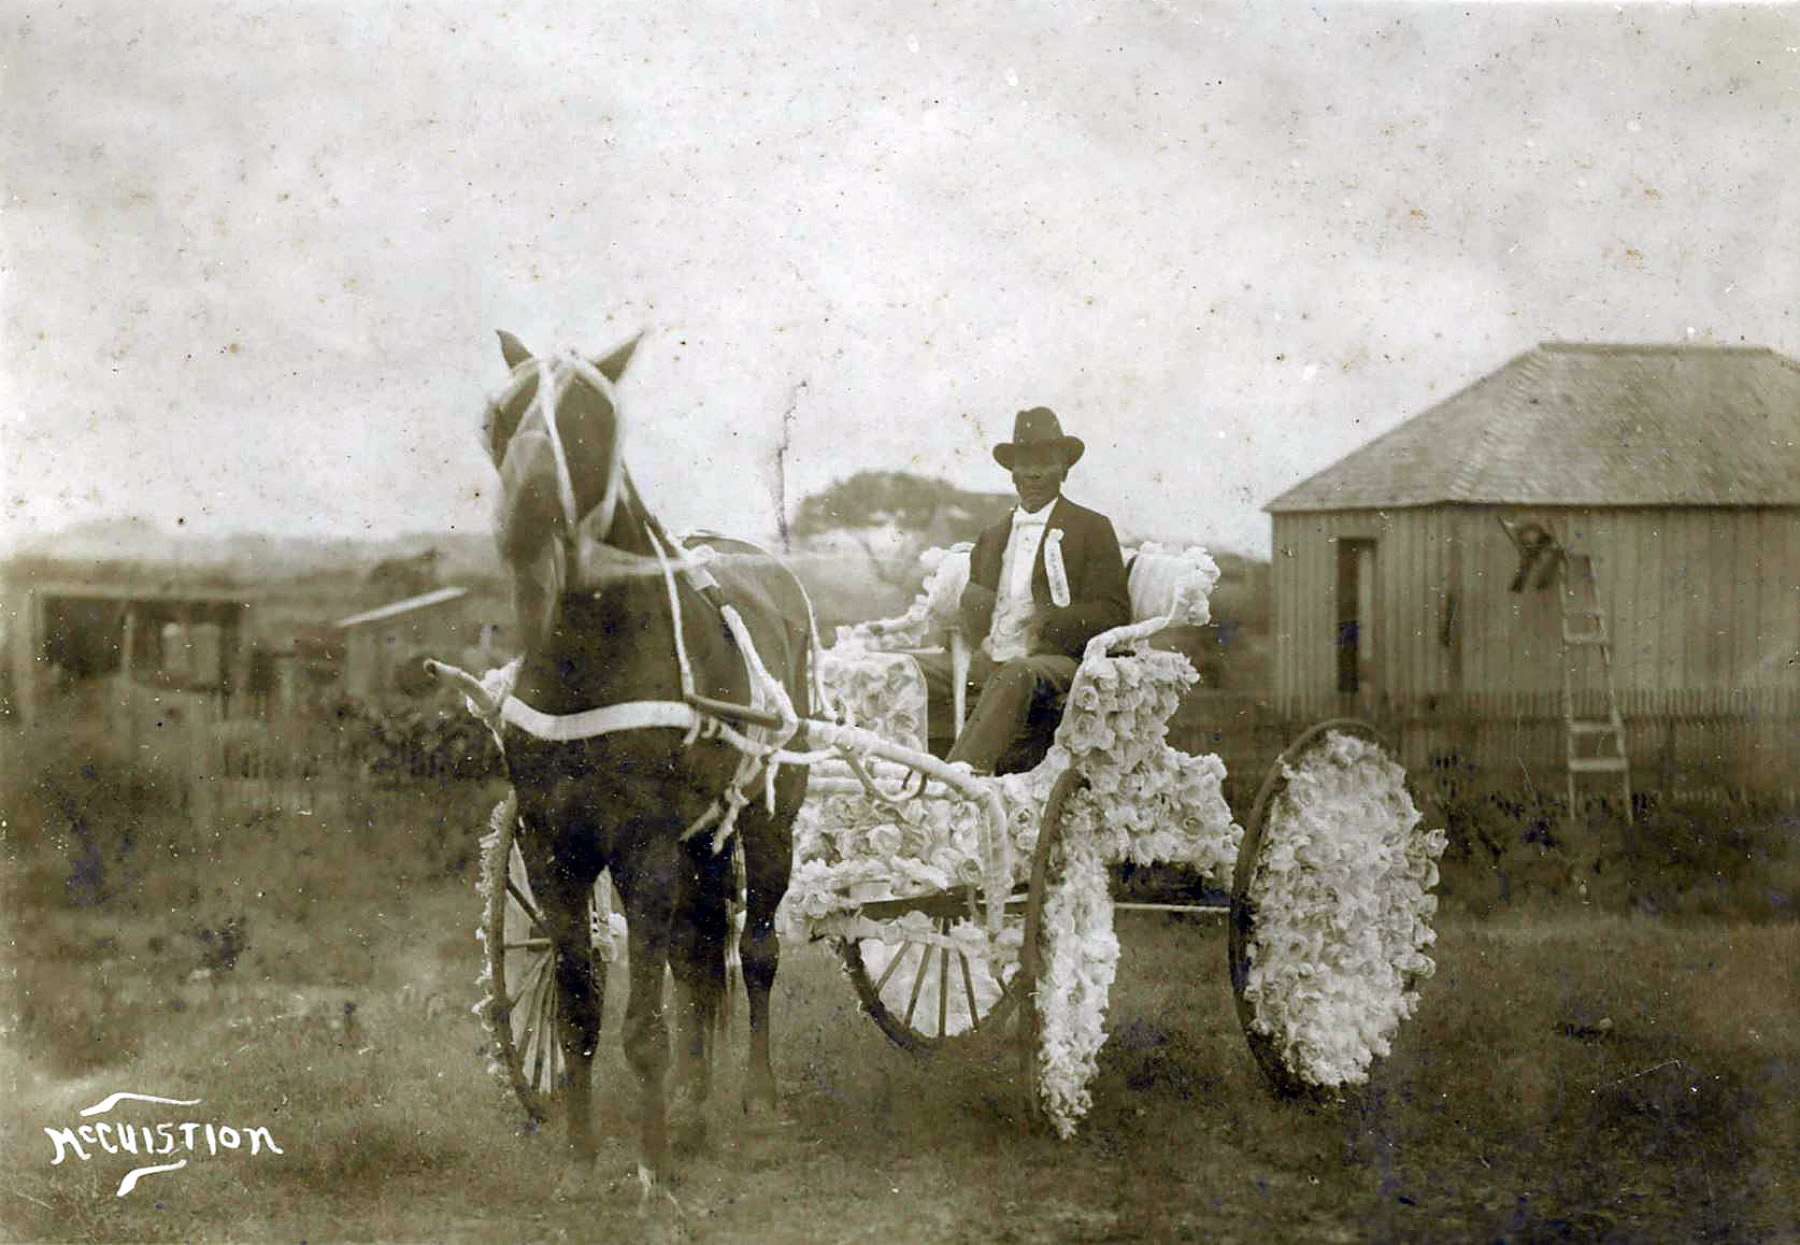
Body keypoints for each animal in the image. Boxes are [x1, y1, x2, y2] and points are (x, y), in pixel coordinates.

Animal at [482, 331, 813, 1194]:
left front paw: (652, 1166)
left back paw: (755, 1099)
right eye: (500, 416)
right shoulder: (550, 843)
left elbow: (645, 1022)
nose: (526, 519)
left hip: (768, 820)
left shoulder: (646, 846)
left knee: (754, 950)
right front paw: (580, 1149)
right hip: (703, 840)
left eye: (591, 419)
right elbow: (578, 1000)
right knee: (700, 957)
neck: (587, 660)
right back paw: (695, 1106)